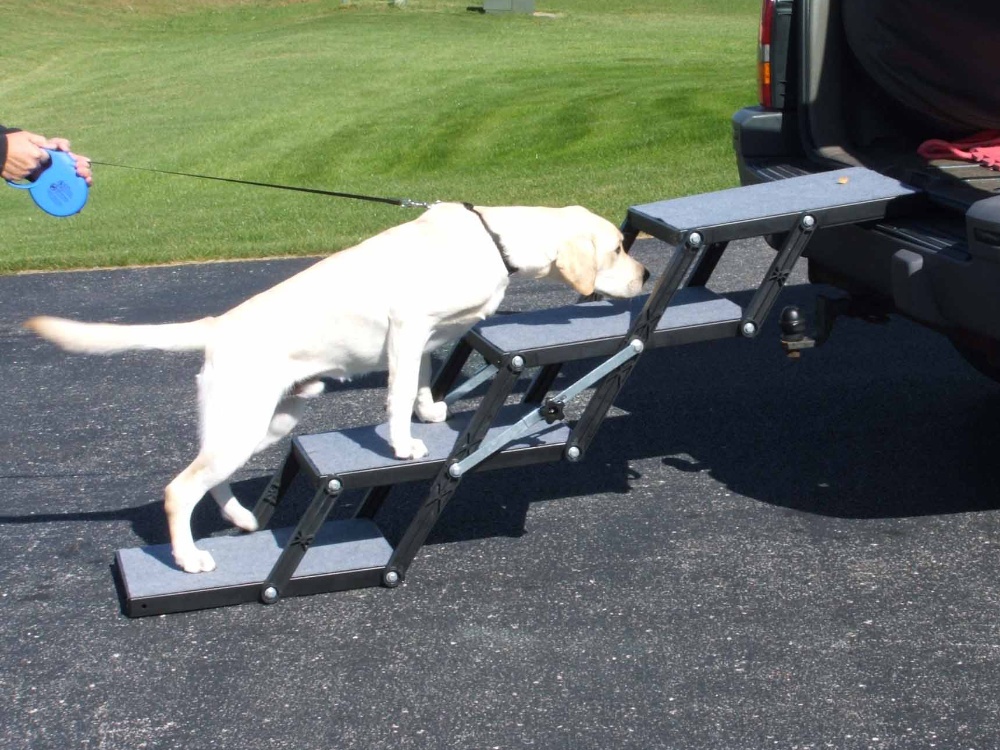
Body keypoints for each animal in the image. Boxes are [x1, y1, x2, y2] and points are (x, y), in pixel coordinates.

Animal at [27, 203, 648, 572]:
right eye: (618, 248)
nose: (644, 275)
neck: (496, 241)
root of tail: (217, 325)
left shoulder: (424, 338)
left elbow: (423, 382)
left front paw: (430, 413)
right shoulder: (408, 325)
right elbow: (398, 393)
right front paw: (402, 444)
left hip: (265, 422)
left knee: (209, 477)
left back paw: (243, 520)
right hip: (245, 423)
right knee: (180, 489)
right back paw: (189, 558)